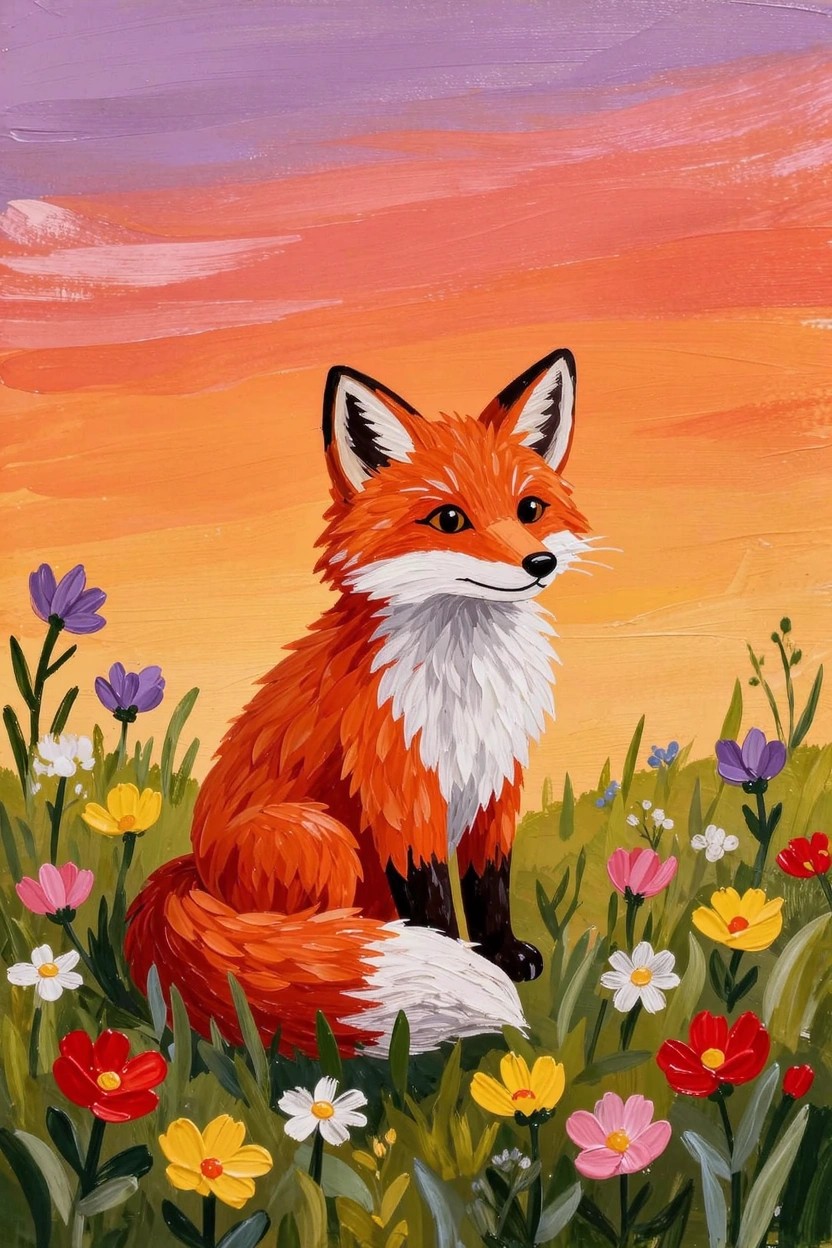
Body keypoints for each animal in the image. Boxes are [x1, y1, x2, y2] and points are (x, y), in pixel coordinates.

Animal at [126, 348, 592, 1058]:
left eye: (530, 508)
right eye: (449, 519)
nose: (538, 563)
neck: (465, 682)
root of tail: (192, 868)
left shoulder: (495, 783)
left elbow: (489, 882)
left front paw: (502, 954)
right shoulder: (401, 791)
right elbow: (433, 900)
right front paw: (459, 961)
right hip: (320, 837)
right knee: (312, 932)